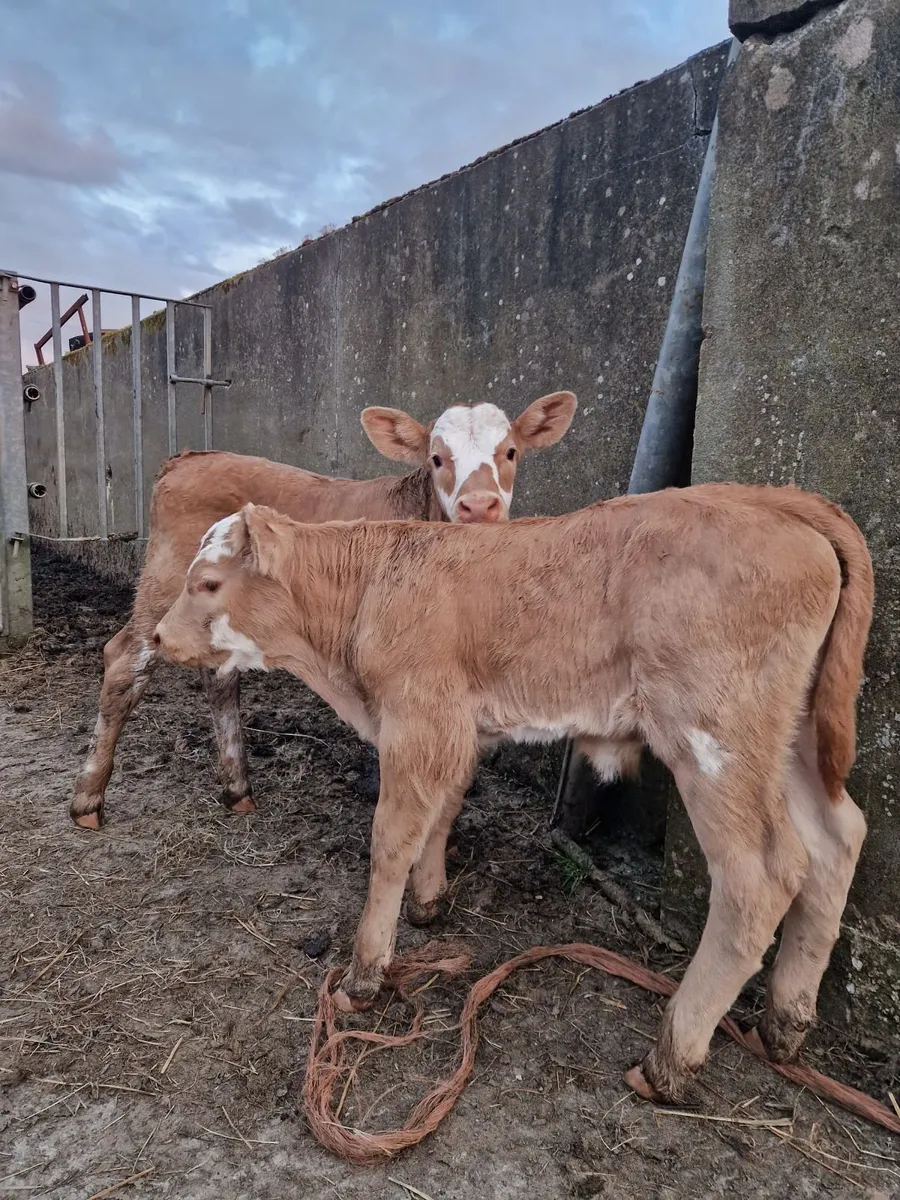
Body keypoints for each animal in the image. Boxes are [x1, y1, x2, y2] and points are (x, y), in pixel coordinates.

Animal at [70, 392, 576, 829]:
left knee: (219, 678)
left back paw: (238, 790)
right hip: (167, 585)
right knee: (124, 660)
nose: (478, 506)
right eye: (436, 459)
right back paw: (88, 800)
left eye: (510, 452)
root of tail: (190, 457)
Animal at [153, 483, 873, 1104]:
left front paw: (365, 973)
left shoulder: (418, 719)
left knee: (761, 877)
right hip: (790, 738)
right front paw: (430, 901)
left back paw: (671, 1059)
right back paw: (784, 1023)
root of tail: (768, 499)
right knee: (837, 839)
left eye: (209, 583)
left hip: (716, 736)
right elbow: (441, 811)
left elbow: (391, 839)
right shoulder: (458, 726)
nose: (158, 636)